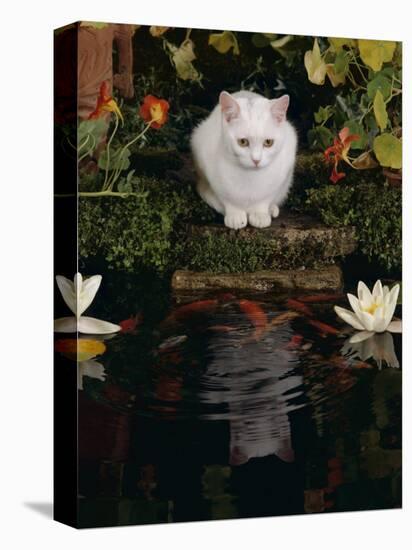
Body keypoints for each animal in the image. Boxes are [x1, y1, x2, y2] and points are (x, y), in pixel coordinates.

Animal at [192, 91, 298, 230]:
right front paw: (235, 215)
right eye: (243, 142)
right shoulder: (209, 166)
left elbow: (266, 198)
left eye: (268, 142)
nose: (256, 160)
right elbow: (227, 198)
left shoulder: (285, 167)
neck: (249, 177)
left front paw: (260, 214)